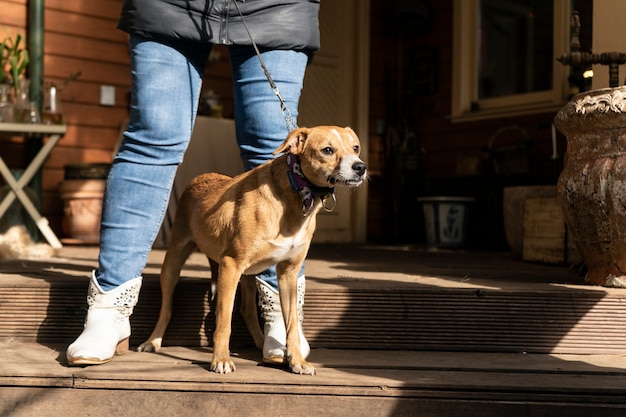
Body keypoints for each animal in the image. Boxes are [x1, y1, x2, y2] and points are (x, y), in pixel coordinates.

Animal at [135, 126, 360, 374]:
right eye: (327, 150)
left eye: (356, 148)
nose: (361, 167)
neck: (295, 194)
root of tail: (201, 177)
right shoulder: (230, 265)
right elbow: (224, 321)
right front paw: (221, 359)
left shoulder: (288, 273)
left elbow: (291, 324)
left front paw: (297, 361)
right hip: (173, 262)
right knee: (167, 308)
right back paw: (152, 342)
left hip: (248, 276)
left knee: (247, 311)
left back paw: (263, 343)